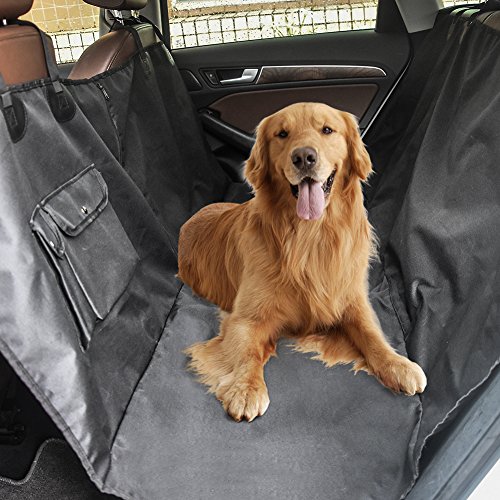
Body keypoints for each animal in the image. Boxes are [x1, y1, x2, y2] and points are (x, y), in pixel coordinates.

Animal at [178, 102, 426, 422]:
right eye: (282, 133)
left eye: (327, 130)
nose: (304, 157)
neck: (310, 235)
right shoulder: (245, 317)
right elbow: (247, 351)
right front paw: (246, 389)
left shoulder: (352, 301)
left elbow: (372, 334)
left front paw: (398, 364)